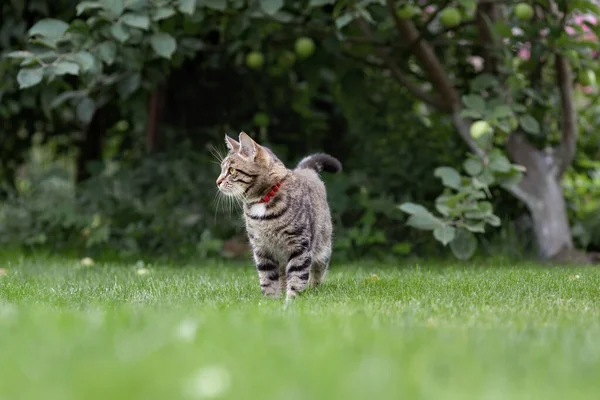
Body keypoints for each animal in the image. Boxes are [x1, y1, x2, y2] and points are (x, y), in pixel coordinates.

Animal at [217, 131, 342, 300]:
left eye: (231, 171)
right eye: (222, 169)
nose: (217, 182)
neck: (263, 201)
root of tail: (304, 170)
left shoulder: (299, 245)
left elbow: (297, 276)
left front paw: (292, 300)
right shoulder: (261, 248)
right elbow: (267, 278)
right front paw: (270, 301)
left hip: (323, 247)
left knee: (317, 271)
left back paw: (314, 288)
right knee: (283, 274)